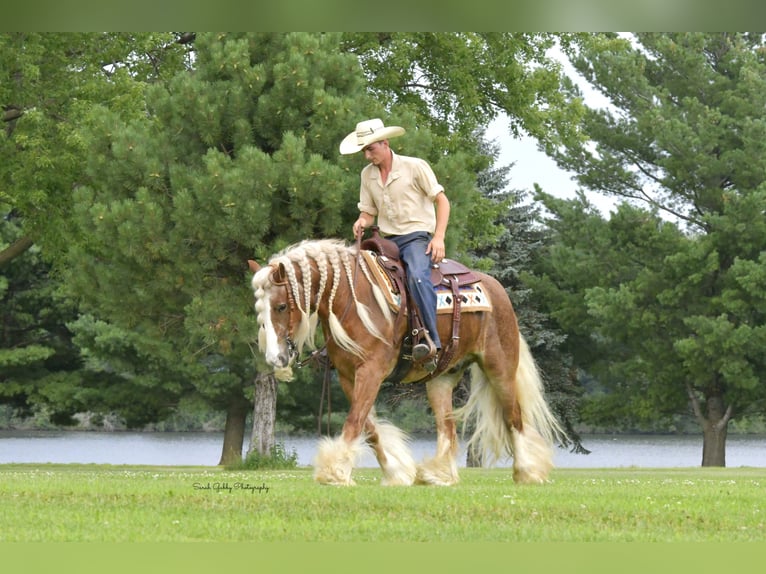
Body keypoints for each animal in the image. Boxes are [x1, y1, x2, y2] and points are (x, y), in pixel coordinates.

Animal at [248, 238, 566, 486]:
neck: (352, 298)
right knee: (447, 428)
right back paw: (440, 475)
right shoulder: (348, 375)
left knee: (514, 416)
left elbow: (354, 421)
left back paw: (527, 471)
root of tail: (495, 288)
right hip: (441, 379)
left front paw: (335, 471)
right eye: (259, 309)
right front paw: (394, 471)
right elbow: (369, 427)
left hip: (500, 367)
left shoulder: (371, 370)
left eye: (281, 306)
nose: (275, 357)